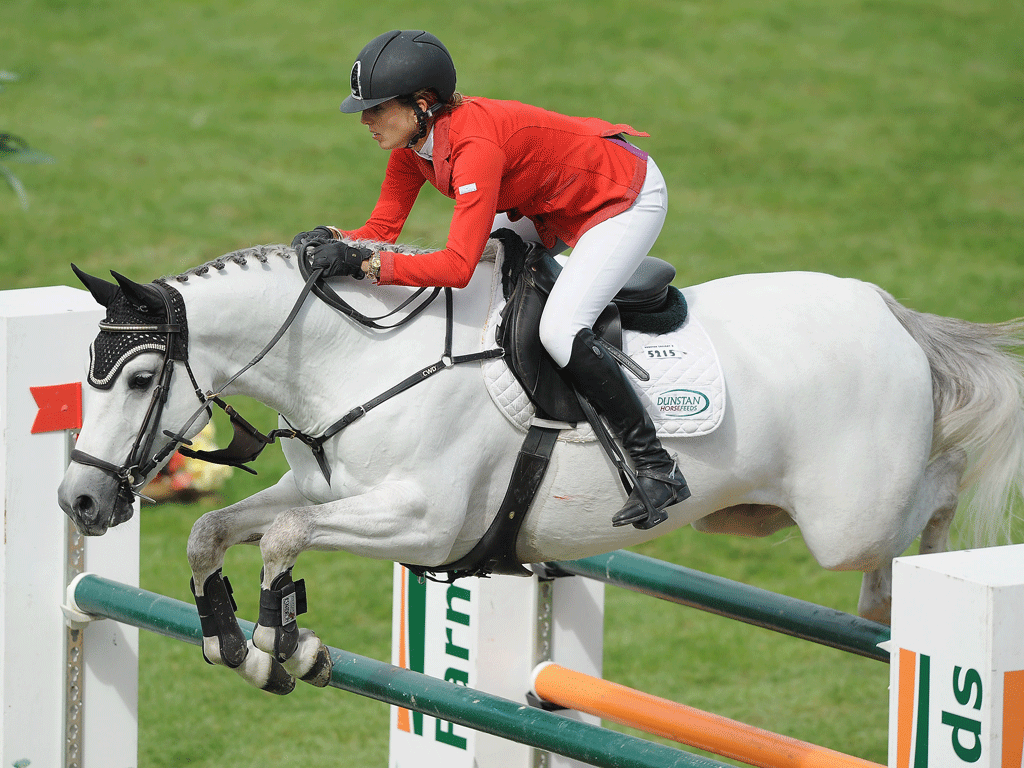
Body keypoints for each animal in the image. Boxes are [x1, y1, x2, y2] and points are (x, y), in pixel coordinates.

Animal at [58, 241, 1024, 696]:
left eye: (138, 379)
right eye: (87, 379)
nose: (79, 499)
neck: (355, 358)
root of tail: (892, 313)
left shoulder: (423, 521)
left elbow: (283, 538)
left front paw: (282, 646)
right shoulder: (331, 490)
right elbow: (215, 529)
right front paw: (241, 644)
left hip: (847, 518)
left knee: (933, 496)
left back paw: (916, 585)